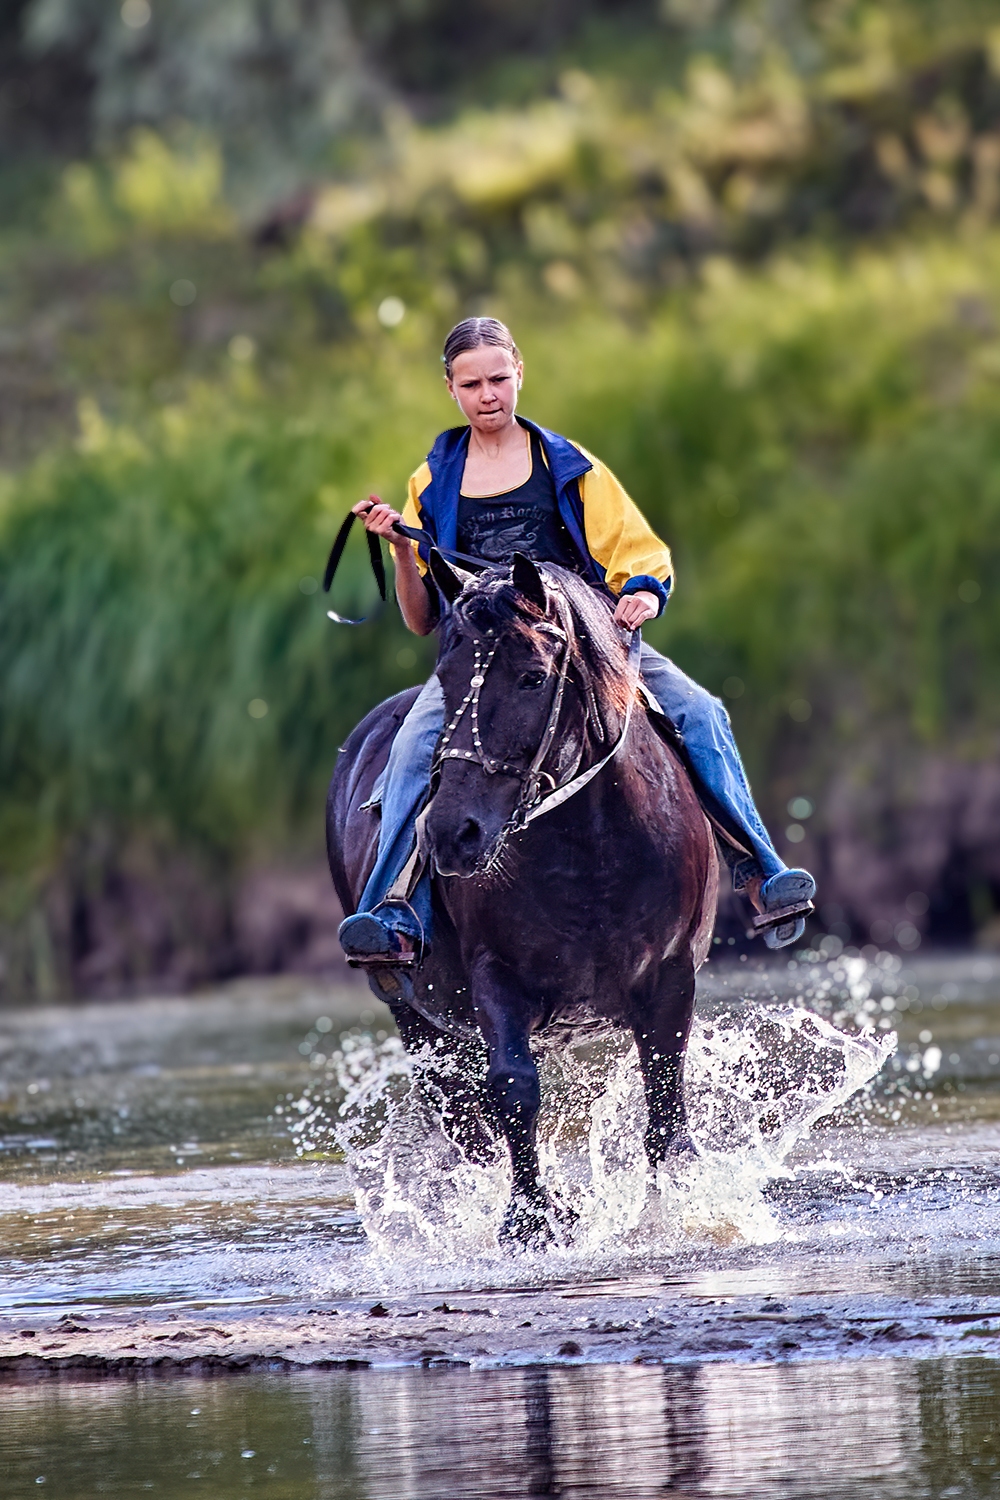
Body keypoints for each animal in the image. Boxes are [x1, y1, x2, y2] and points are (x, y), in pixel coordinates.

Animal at [328, 558, 719, 1248]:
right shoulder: (495, 975)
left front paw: (675, 1209)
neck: (591, 849)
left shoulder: (670, 974)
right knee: (464, 1119)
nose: (451, 833)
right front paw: (531, 1221)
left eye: (534, 677)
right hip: (416, 1018)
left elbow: (665, 1095)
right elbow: (513, 1088)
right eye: (446, 678)